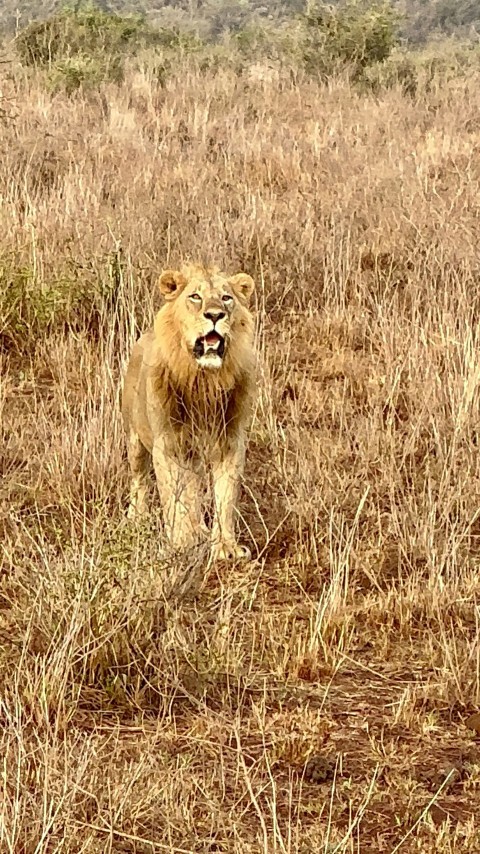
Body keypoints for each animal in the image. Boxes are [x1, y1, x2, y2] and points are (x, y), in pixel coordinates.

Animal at [122, 264, 256, 564]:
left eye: (227, 298)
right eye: (195, 296)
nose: (215, 315)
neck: (204, 382)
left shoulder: (231, 442)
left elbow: (225, 496)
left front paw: (225, 547)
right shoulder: (168, 445)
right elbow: (174, 499)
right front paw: (182, 543)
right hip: (135, 439)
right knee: (139, 479)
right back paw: (137, 516)